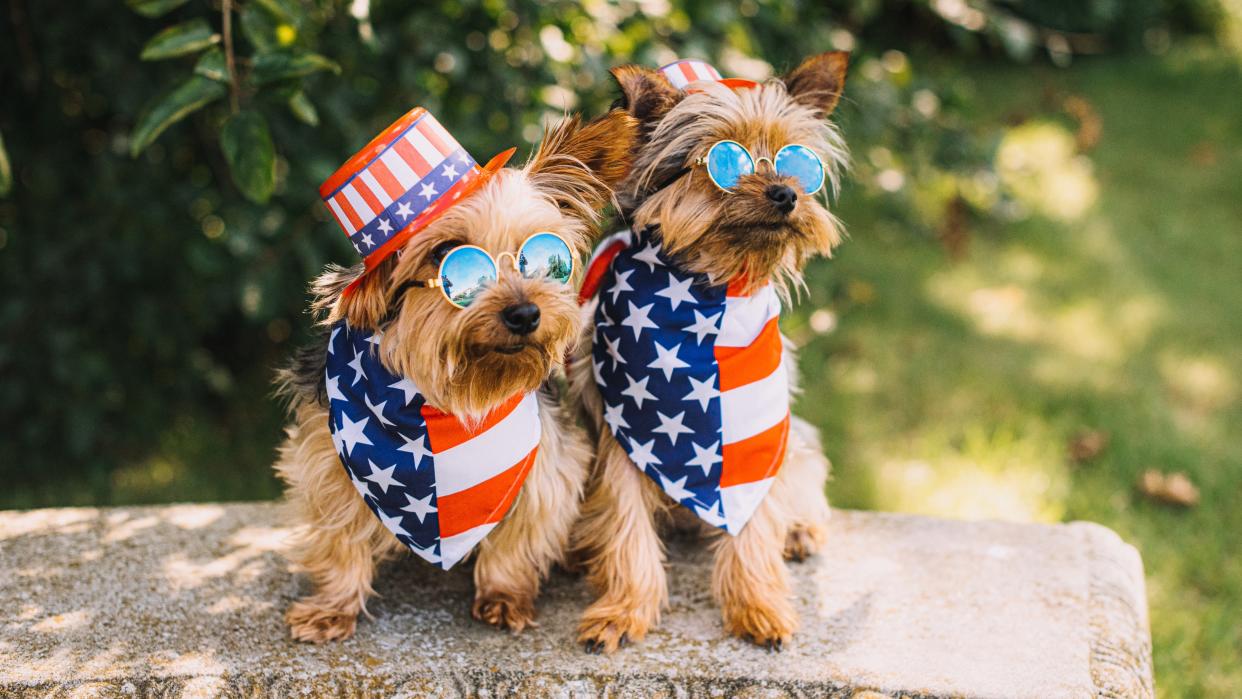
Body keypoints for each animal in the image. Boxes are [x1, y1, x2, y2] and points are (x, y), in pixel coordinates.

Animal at [275, 110, 635, 645]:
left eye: (543, 254)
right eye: (449, 255)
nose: (526, 313)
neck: (443, 399)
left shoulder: (544, 461)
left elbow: (519, 535)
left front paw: (504, 596)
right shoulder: (328, 457)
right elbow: (340, 539)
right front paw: (332, 607)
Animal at [573, 53, 854, 650]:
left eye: (797, 162)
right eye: (723, 160)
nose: (786, 193)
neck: (709, 288)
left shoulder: (754, 435)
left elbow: (753, 524)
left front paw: (757, 605)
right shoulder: (622, 431)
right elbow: (626, 526)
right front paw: (624, 610)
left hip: (797, 443)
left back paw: (800, 529)